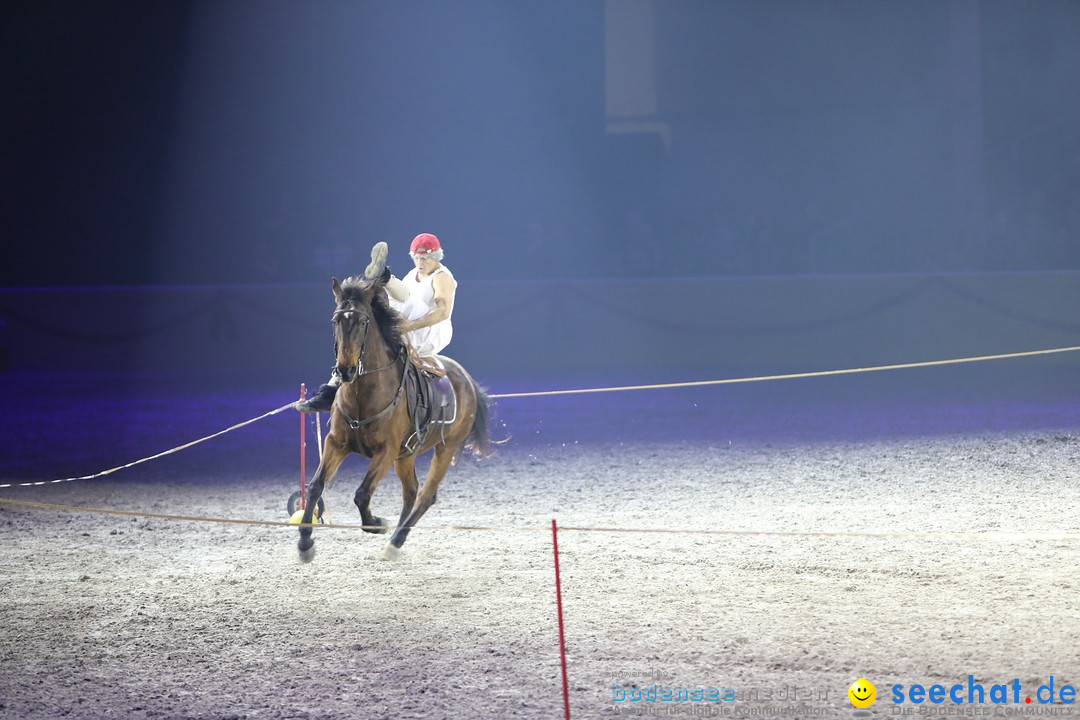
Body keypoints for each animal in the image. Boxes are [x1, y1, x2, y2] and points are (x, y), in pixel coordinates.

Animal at [298, 276, 494, 561]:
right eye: (336, 320)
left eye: (363, 321)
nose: (345, 370)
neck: (364, 394)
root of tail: (468, 381)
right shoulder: (336, 443)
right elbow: (315, 486)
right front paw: (305, 542)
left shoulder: (386, 451)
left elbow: (362, 494)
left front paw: (376, 524)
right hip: (406, 455)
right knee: (411, 492)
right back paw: (395, 540)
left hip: (445, 448)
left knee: (425, 496)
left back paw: (395, 540)